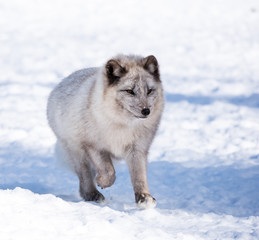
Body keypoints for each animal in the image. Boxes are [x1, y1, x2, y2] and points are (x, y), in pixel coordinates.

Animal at [47, 54, 165, 208]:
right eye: (130, 91)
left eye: (149, 91)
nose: (146, 111)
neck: (122, 125)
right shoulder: (93, 146)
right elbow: (109, 171)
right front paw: (102, 181)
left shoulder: (137, 149)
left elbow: (139, 176)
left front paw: (144, 197)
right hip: (77, 152)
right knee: (84, 178)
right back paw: (92, 194)